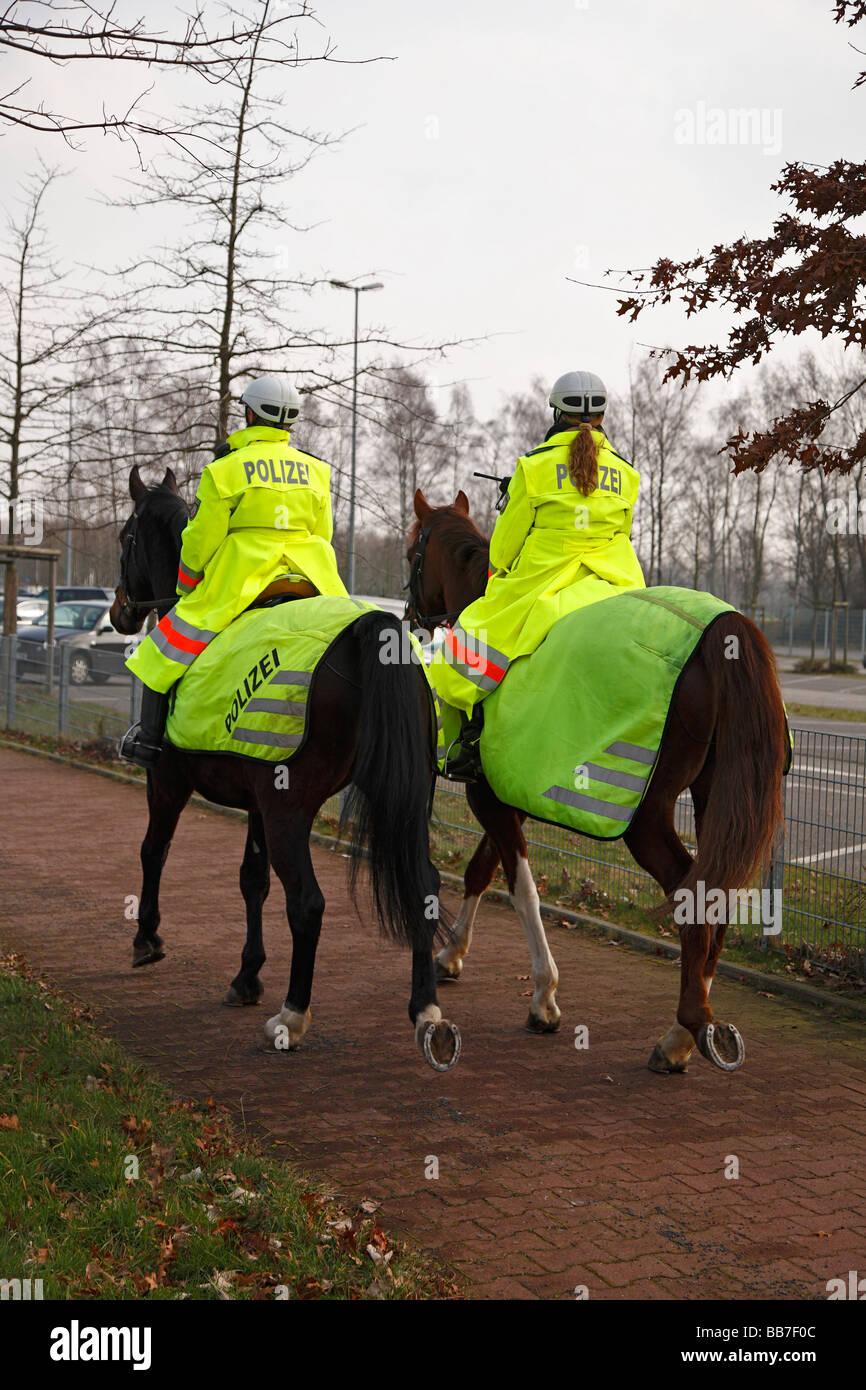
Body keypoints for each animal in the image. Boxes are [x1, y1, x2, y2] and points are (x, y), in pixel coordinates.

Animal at [109, 461, 461, 1067]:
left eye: (125, 537)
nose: (118, 611)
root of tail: (373, 630)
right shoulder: (256, 798)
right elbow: (252, 881)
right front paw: (247, 975)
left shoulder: (169, 784)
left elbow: (154, 850)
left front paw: (147, 937)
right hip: (403, 802)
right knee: (425, 886)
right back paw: (426, 1012)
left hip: (288, 810)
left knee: (309, 903)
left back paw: (293, 1017)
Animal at [405, 489, 783, 1073]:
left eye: (410, 555)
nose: (409, 617)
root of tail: (724, 629)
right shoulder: (506, 788)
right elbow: (481, 869)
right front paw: (451, 955)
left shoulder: (487, 794)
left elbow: (521, 888)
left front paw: (544, 998)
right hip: (714, 798)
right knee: (714, 897)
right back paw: (690, 1025)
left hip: (646, 818)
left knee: (693, 899)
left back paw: (680, 1035)